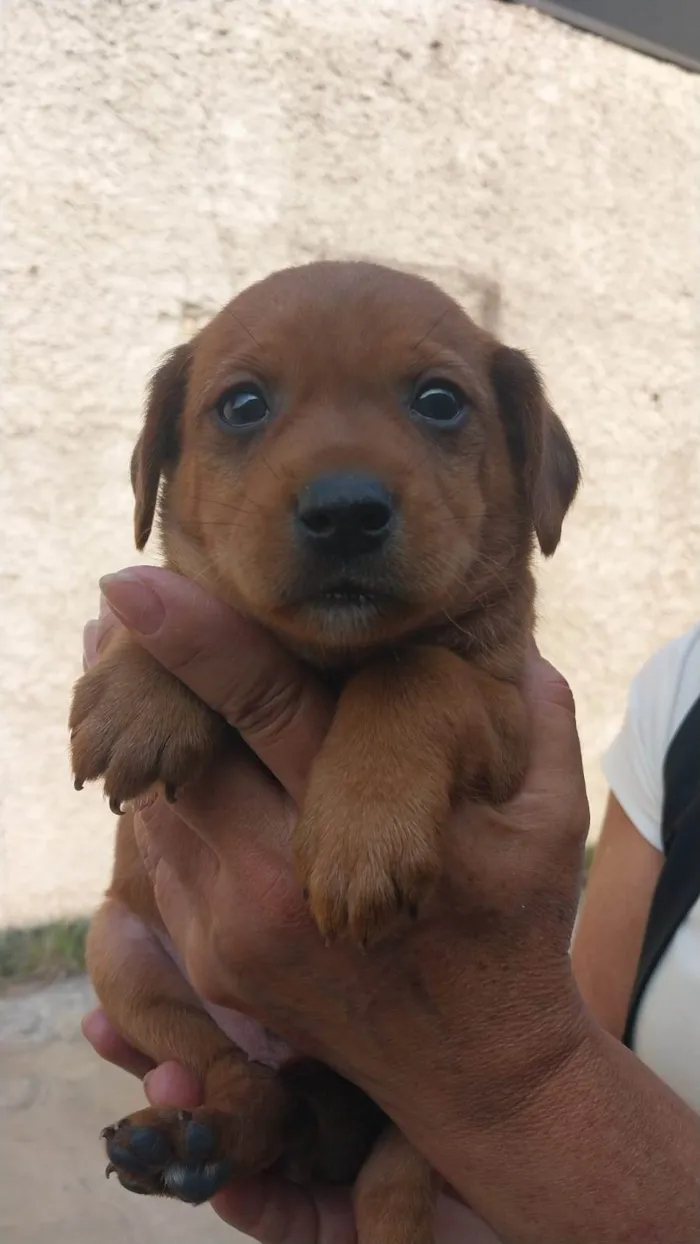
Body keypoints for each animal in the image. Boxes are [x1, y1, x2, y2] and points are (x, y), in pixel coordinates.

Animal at [69, 257, 581, 1239]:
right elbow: (188, 596)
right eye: (242, 406)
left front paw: (360, 841)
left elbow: (413, 670)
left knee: (387, 1179)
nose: (346, 511)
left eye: (438, 402)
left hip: (425, 1113)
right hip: (120, 953)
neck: (331, 659)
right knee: (250, 1085)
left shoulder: (506, 710)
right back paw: (193, 1137)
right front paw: (138, 697)